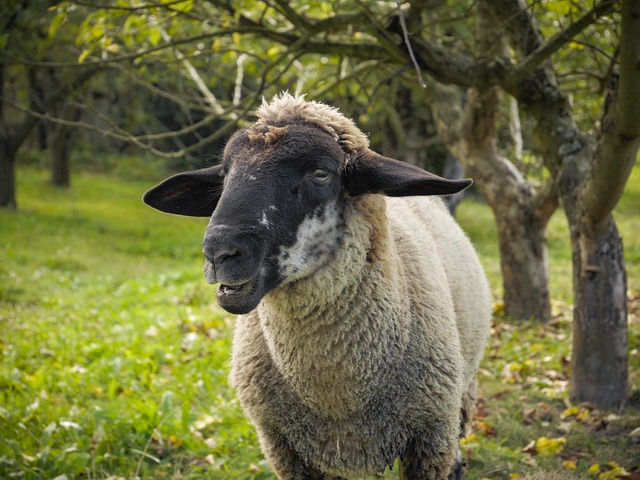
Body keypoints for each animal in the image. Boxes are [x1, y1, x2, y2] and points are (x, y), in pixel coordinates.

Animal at [144, 94, 490, 480]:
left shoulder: (429, 438)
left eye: (321, 173)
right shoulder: (283, 446)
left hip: (461, 397)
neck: (337, 398)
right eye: (224, 174)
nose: (219, 252)